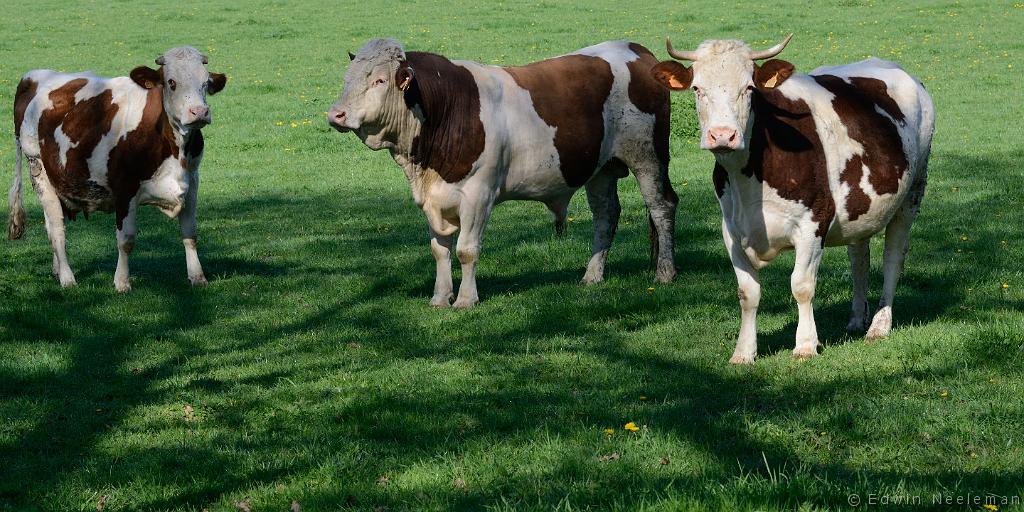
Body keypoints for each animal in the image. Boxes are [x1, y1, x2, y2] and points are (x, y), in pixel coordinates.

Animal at [7, 48, 227, 292]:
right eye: (171, 82)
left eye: (206, 82)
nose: (199, 112)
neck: (174, 149)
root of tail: (34, 76)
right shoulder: (125, 187)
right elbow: (126, 240)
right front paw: (122, 282)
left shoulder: (192, 180)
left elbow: (190, 233)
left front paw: (197, 277)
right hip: (38, 168)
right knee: (56, 229)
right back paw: (67, 278)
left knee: (50, 224)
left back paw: (57, 271)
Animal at [329, 37, 679, 307]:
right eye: (346, 79)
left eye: (379, 80)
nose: (336, 114)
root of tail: (635, 49)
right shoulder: (432, 199)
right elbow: (439, 251)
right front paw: (440, 299)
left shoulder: (478, 194)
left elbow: (466, 250)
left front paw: (465, 300)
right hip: (601, 169)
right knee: (606, 215)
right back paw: (592, 275)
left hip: (648, 156)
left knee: (661, 206)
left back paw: (665, 273)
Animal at [655, 35, 937, 364]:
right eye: (697, 89)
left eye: (749, 88)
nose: (722, 135)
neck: (749, 182)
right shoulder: (731, 230)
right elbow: (747, 293)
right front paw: (744, 352)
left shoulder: (813, 223)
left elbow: (802, 285)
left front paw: (805, 345)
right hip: (859, 206)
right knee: (859, 259)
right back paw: (857, 319)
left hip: (912, 194)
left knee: (893, 258)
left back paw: (879, 326)